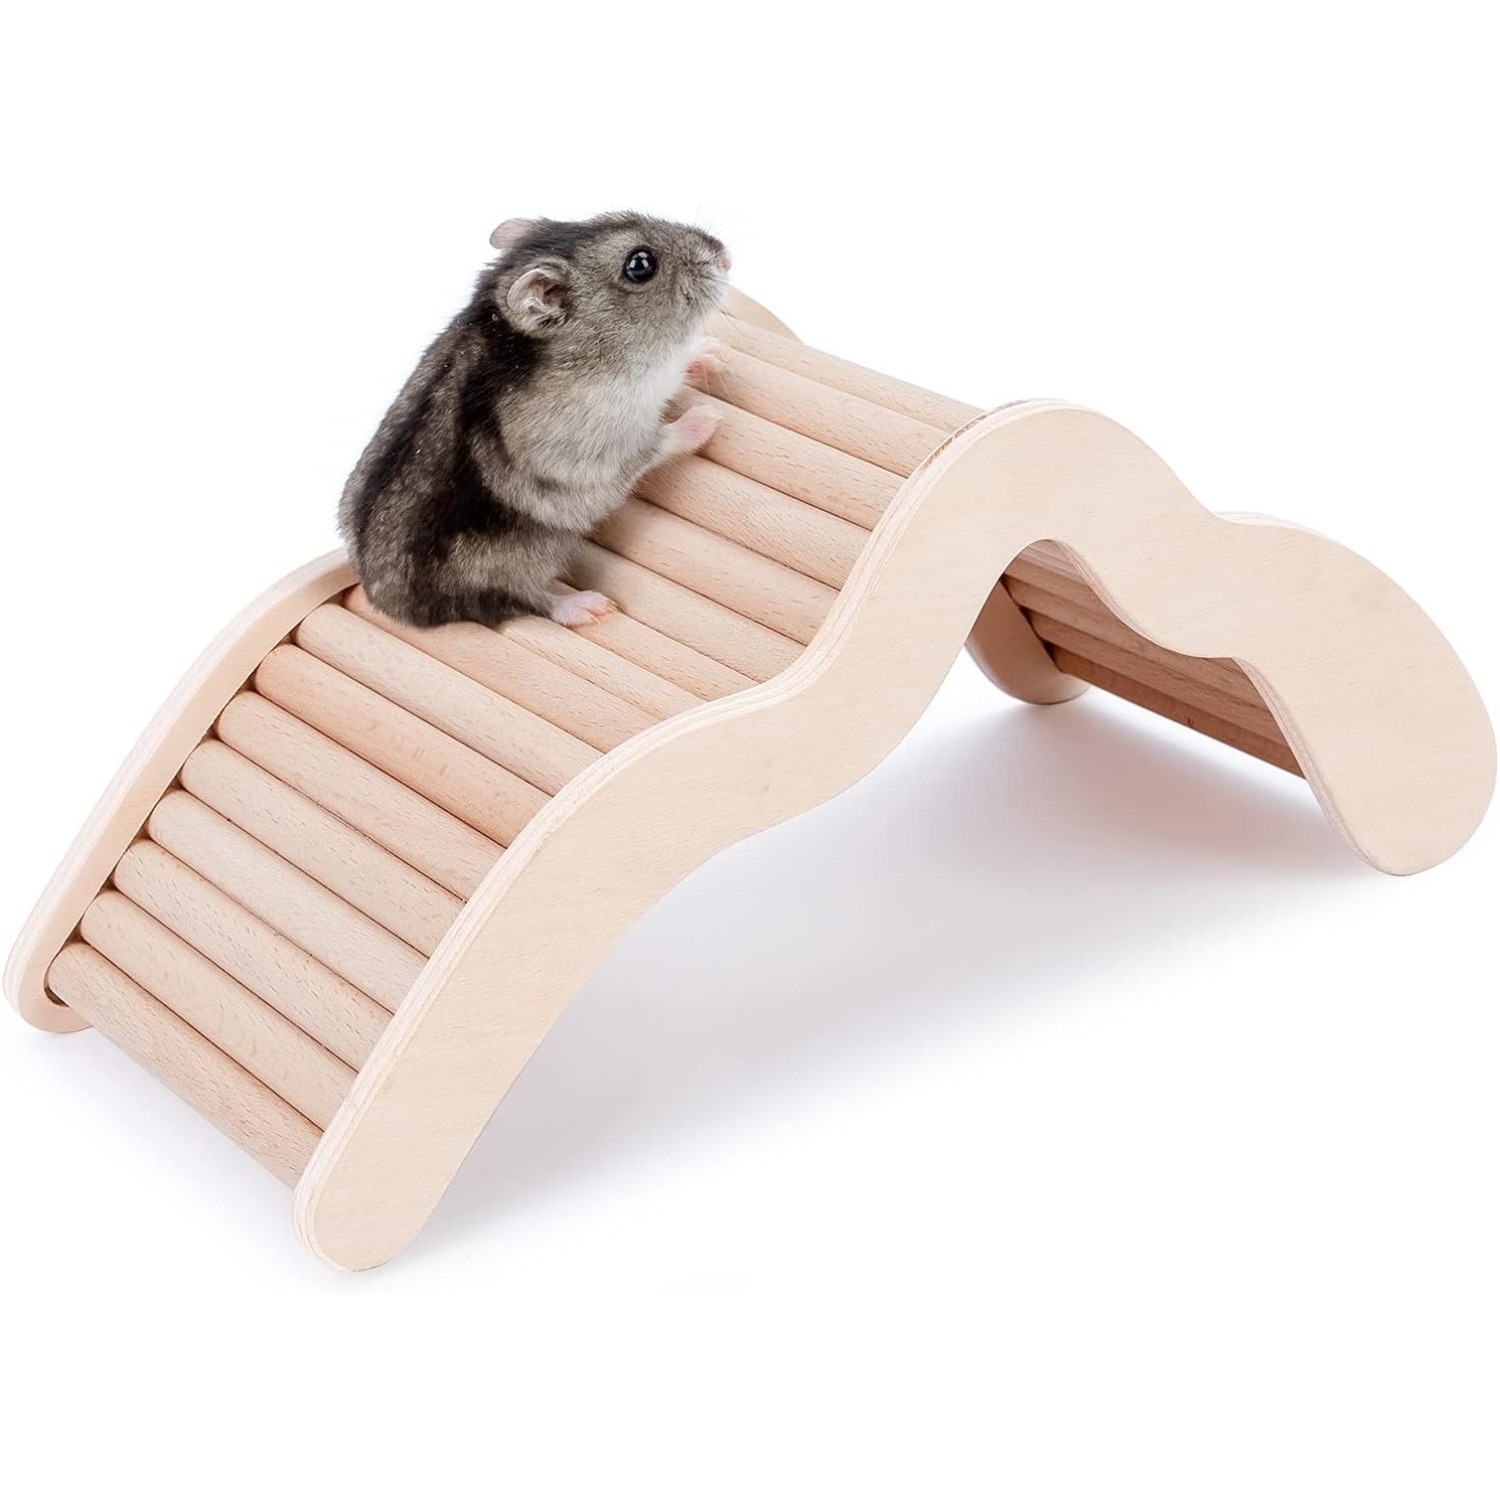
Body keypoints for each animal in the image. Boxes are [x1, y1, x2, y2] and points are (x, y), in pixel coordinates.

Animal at [338, 211, 731, 629]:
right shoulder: (597, 443)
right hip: (512, 564)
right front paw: (709, 417)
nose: (726, 258)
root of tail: (390, 605)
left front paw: (715, 352)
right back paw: (591, 607)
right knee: (526, 600)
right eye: (640, 265)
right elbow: (657, 441)